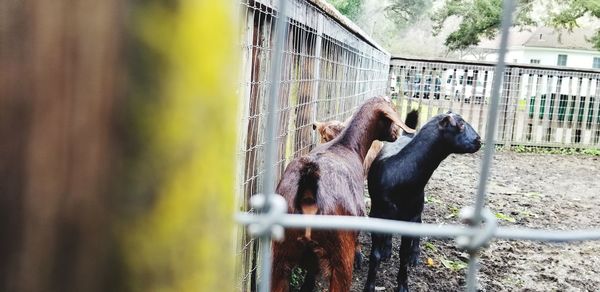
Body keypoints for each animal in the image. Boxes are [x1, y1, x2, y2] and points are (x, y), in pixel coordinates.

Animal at [360, 112, 482, 292]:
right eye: (460, 125)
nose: (479, 140)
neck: (401, 174)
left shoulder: (410, 216)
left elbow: (403, 255)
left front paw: (403, 285)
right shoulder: (377, 214)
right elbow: (374, 255)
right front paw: (369, 285)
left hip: (418, 206)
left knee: (419, 223)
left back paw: (414, 256)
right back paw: (387, 250)